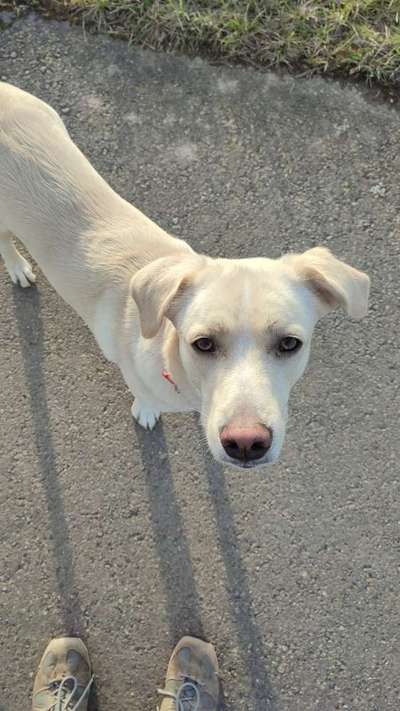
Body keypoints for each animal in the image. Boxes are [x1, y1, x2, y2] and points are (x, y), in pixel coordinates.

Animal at [0, 83, 368, 470]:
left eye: (289, 344)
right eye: (203, 343)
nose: (246, 443)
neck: (169, 356)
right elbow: (144, 398)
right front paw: (146, 410)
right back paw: (18, 266)